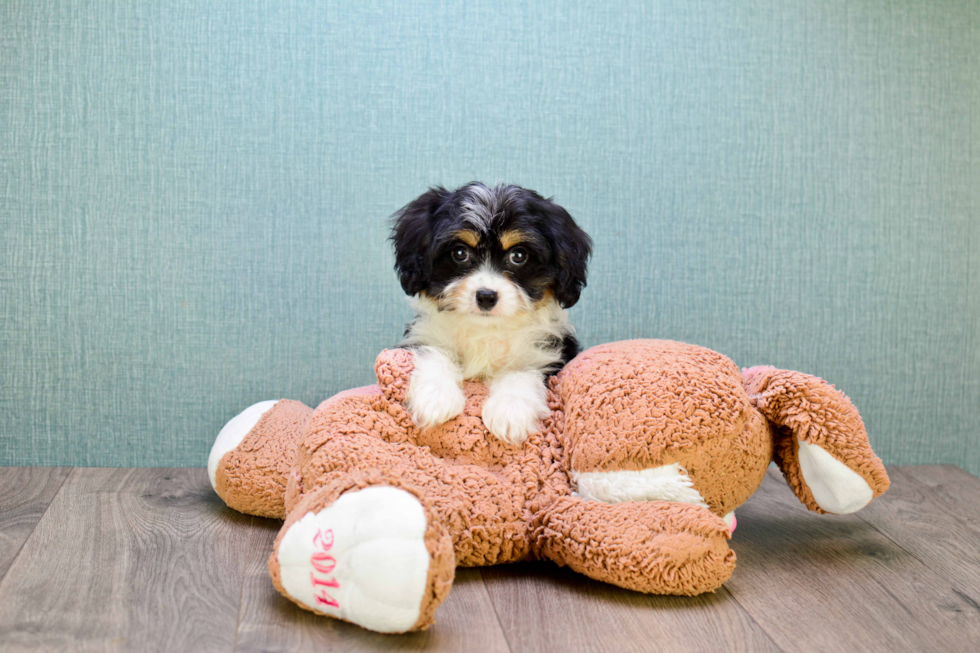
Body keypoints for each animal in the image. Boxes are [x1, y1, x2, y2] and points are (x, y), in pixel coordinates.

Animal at [388, 181, 588, 444]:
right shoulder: (425, 335)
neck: (486, 329)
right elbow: (434, 354)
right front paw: (435, 397)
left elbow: (522, 373)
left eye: (518, 255)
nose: (486, 296)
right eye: (460, 253)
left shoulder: (548, 354)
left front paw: (510, 412)